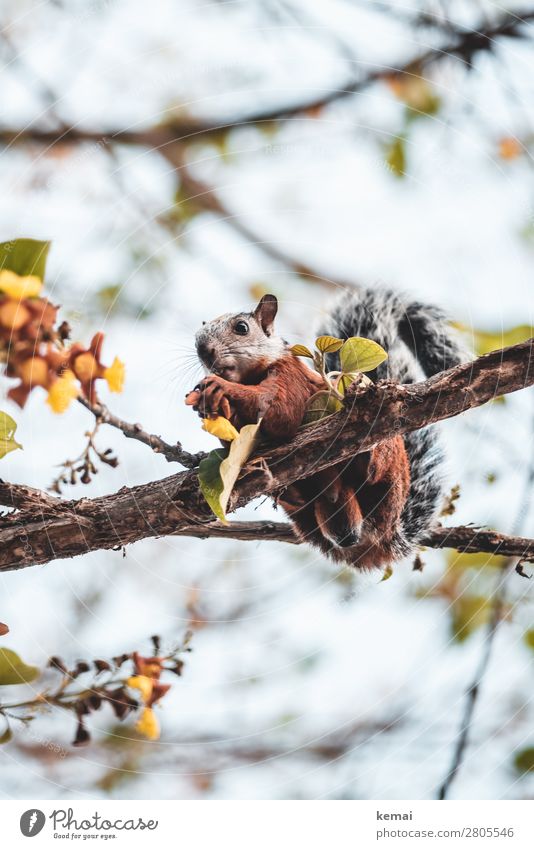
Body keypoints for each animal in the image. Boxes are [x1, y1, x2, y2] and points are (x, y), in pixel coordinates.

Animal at [186, 286, 466, 568]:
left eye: (241, 328)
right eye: (198, 334)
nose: (203, 350)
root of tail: (385, 531)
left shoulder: (291, 375)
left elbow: (280, 411)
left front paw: (222, 389)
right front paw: (213, 404)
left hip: (386, 464)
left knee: (372, 470)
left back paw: (364, 456)